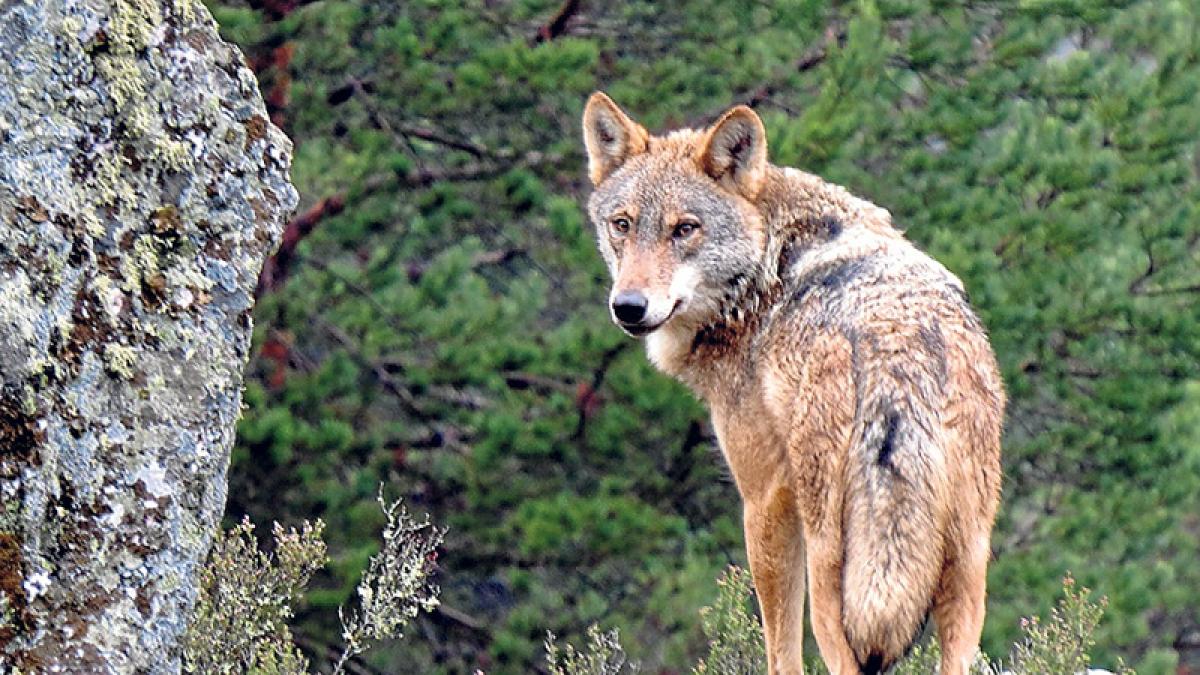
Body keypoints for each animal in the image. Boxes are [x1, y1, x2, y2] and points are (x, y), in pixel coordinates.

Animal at [580, 93, 1003, 672]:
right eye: (622, 224)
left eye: (685, 229)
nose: (628, 306)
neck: (766, 267)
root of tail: (900, 357)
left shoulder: (765, 497)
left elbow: (779, 647)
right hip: (968, 565)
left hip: (835, 571)